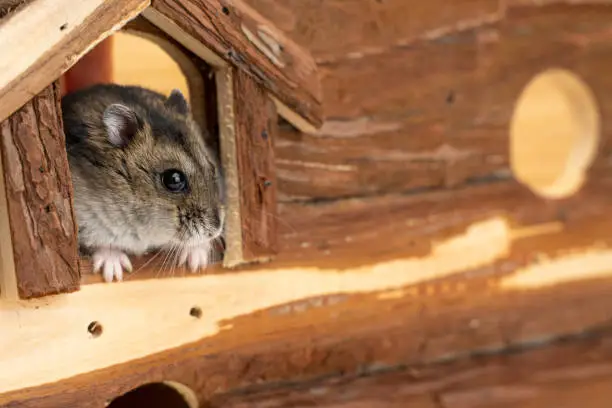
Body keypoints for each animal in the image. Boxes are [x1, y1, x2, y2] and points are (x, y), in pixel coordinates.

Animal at [62, 84, 225, 282]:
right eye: (174, 179)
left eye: (212, 167)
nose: (216, 229)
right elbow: (101, 244)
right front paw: (114, 273)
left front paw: (197, 262)